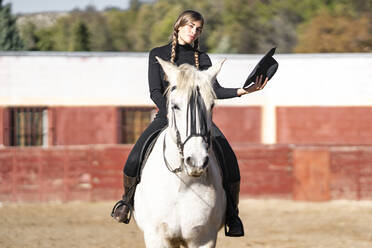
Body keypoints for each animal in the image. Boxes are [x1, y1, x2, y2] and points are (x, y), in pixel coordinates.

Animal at [134, 57, 227, 247]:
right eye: (175, 106)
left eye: (212, 105)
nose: (197, 161)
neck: (181, 184)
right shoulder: (156, 237)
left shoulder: (204, 239)